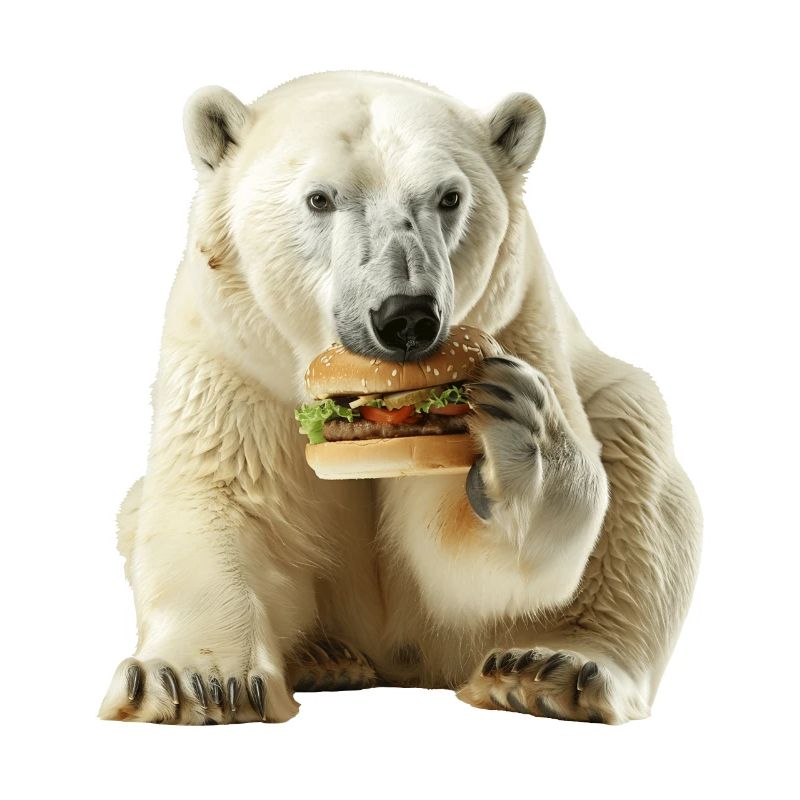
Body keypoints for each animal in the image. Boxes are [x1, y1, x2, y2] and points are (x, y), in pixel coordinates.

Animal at [99, 71, 701, 725]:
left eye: (449, 197)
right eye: (320, 199)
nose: (406, 316)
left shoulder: (519, 324)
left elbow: (464, 555)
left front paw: (519, 430)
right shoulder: (233, 357)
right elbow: (222, 498)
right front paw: (196, 684)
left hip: (616, 405)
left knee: (637, 478)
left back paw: (548, 668)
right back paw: (325, 656)